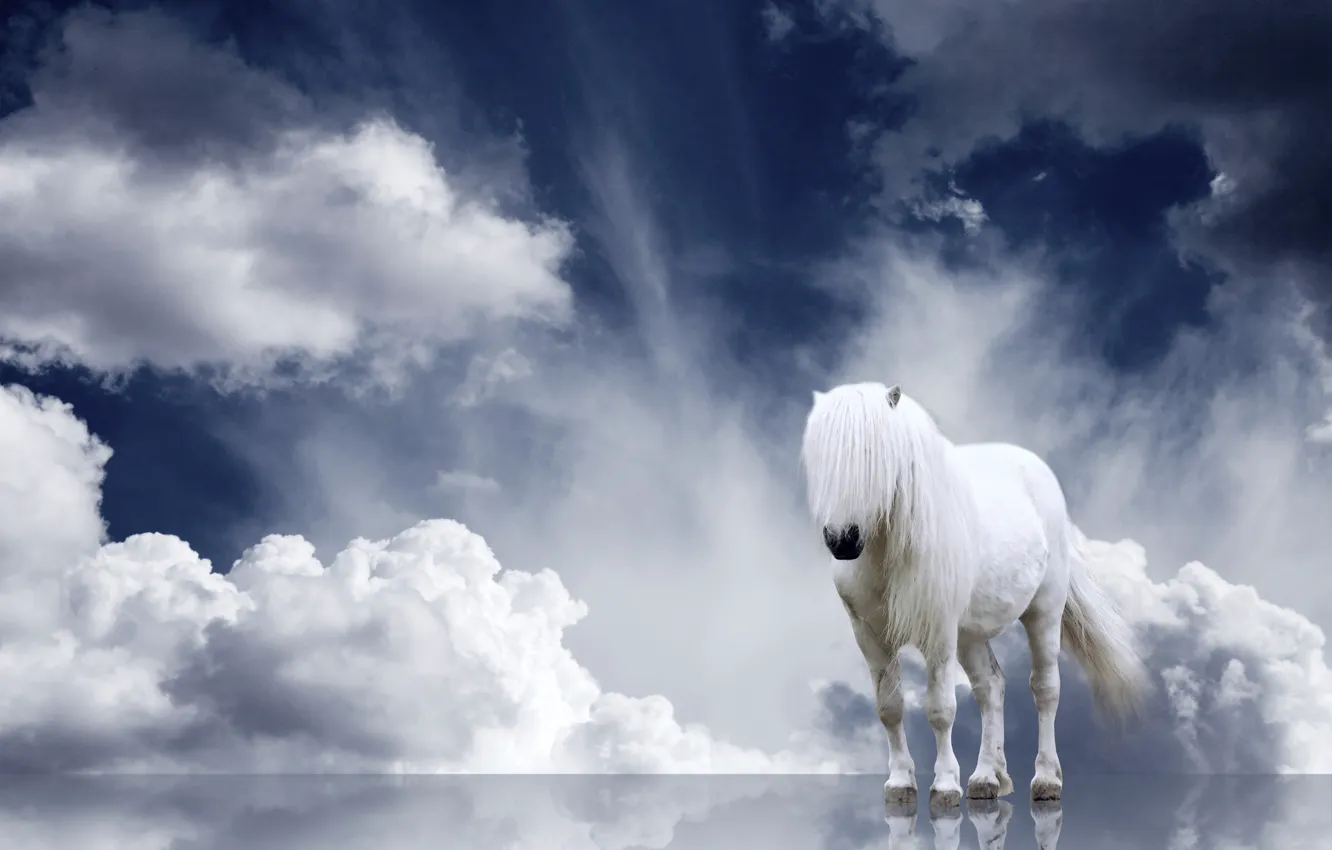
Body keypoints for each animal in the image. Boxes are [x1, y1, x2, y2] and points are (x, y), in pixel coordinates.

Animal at [800, 381, 1149, 808]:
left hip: (1042, 612)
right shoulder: (869, 635)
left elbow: (940, 709)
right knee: (991, 688)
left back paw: (1045, 780)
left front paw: (945, 785)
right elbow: (889, 708)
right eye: (820, 459)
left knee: (1045, 688)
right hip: (970, 635)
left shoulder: (939, 632)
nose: (843, 540)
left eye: (873, 454)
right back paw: (988, 778)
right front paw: (900, 784)